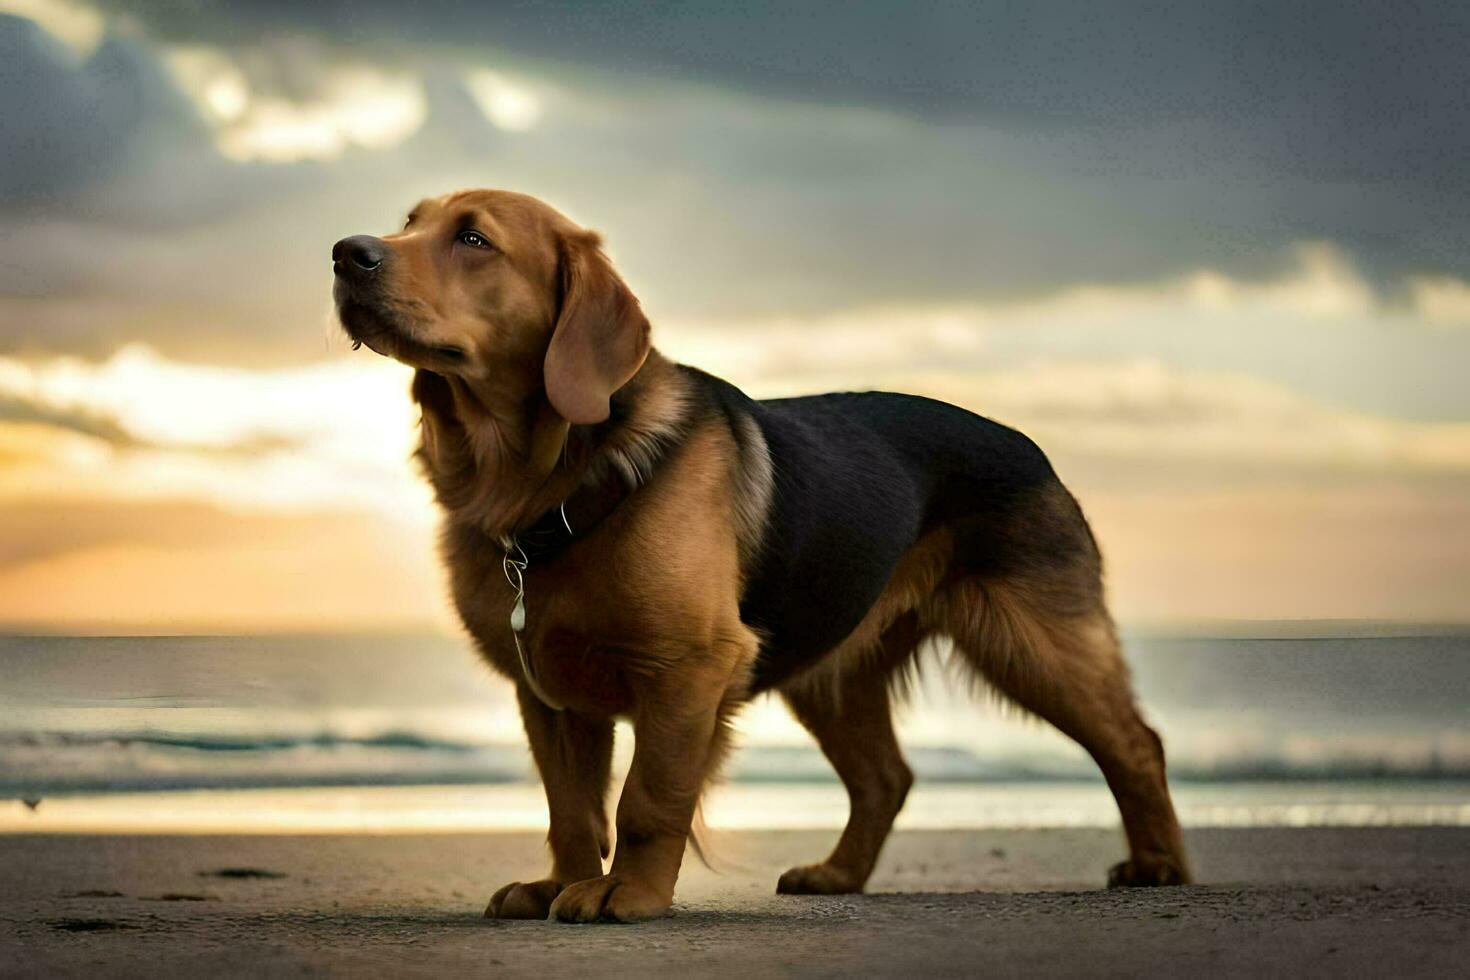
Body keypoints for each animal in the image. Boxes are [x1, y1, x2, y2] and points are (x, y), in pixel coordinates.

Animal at [333, 188, 1193, 922]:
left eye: (474, 240)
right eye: (408, 222)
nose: (346, 253)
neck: (544, 482)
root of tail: (1032, 446)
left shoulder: (690, 667)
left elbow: (647, 800)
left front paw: (626, 895)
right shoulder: (550, 693)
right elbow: (571, 811)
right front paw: (563, 884)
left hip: (1036, 645)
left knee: (1136, 745)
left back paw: (1159, 863)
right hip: (833, 669)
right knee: (887, 778)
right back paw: (840, 874)